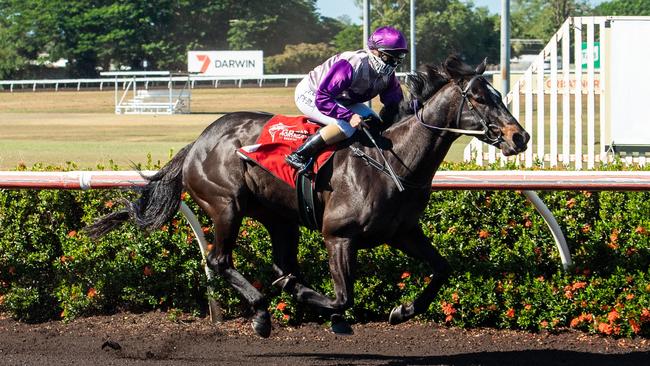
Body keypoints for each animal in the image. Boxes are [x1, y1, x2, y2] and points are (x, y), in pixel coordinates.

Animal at [86, 55, 528, 338]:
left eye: (499, 95)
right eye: (480, 98)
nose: (519, 136)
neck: (392, 161)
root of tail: (198, 141)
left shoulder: (403, 232)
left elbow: (442, 269)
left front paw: (402, 311)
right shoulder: (339, 236)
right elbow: (343, 299)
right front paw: (325, 309)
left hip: (280, 218)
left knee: (281, 264)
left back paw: (282, 291)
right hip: (226, 205)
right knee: (219, 260)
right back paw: (261, 313)